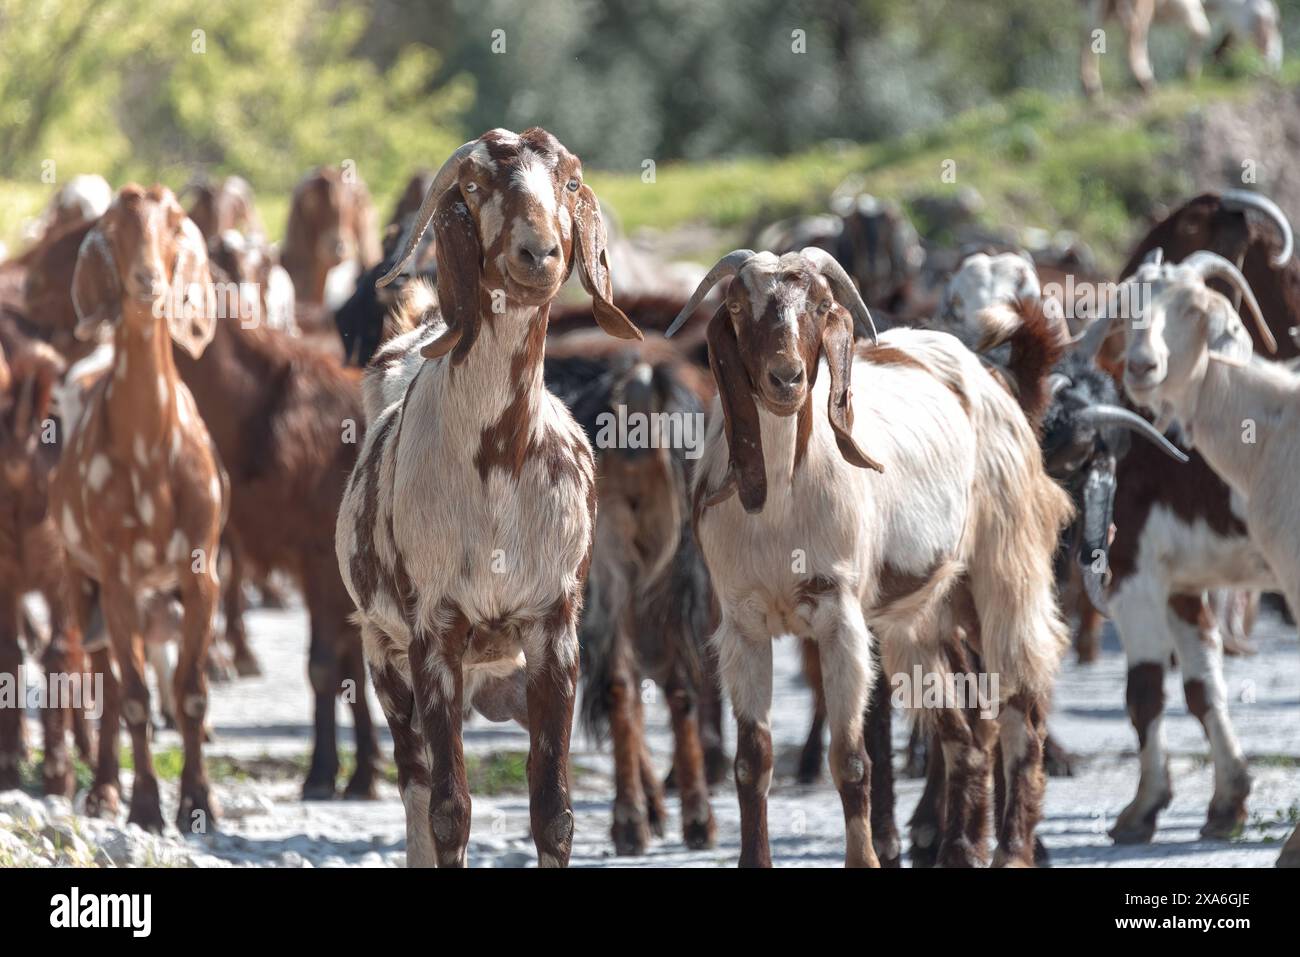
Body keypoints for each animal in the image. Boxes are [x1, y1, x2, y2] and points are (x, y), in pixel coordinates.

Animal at [50, 184, 227, 832]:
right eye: (114, 227)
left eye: (174, 224)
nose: (148, 279)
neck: (151, 454)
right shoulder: (117, 574)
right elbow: (132, 696)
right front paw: (147, 805)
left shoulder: (201, 571)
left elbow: (191, 691)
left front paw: (199, 801)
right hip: (83, 580)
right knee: (103, 675)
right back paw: (103, 789)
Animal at [335, 127, 639, 868]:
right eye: (474, 186)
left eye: (569, 181)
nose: (540, 253)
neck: (498, 460)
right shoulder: (433, 633)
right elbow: (448, 810)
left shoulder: (554, 628)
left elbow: (554, 811)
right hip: (385, 659)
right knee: (415, 787)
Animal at [665, 247, 1071, 868]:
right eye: (736, 306)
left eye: (821, 305)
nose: (786, 378)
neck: (783, 502)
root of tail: (993, 379)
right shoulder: (742, 622)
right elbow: (752, 762)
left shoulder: (840, 618)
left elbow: (852, 759)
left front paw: (867, 857)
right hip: (924, 615)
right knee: (967, 734)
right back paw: (958, 850)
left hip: (1006, 566)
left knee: (1021, 706)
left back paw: (1012, 852)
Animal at [1076, 0, 1279, 98]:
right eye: (1270, 22)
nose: (1272, 67)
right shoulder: (1185, 3)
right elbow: (1201, 29)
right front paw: (1191, 73)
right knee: (1134, 30)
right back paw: (1146, 81)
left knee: (1089, 33)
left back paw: (1092, 87)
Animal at [1112, 248, 1300, 868]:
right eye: (1128, 305)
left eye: (1194, 308)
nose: (1142, 366)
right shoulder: (1180, 583)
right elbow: (1200, 689)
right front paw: (1225, 804)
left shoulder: (1135, 571)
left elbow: (1146, 691)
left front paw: (1141, 811)